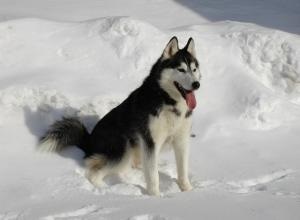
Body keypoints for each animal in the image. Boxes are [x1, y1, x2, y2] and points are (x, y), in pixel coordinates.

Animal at [38, 36, 200, 196]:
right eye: (181, 69)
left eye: (194, 69)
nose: (196, 84)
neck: (168, 100)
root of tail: (89, 140)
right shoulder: (150, 142)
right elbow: (154, 176)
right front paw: (155, 197)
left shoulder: (181, 140)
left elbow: (182, 171)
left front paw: (188, 191)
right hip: (123, 151)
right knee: (94, 174)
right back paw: (107, 191)